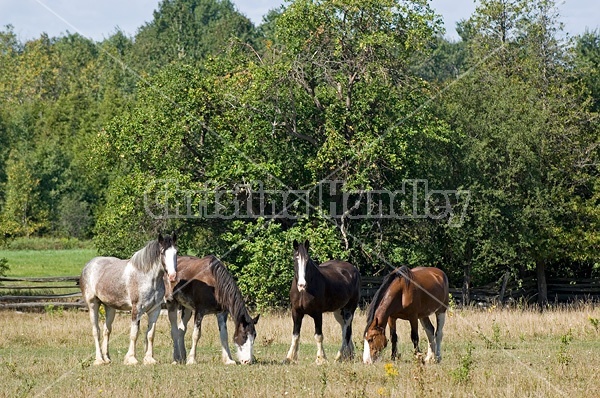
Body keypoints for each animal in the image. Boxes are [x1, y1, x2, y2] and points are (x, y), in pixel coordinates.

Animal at [78, 233, 176, 366]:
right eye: (162, 252)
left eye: (176, 252)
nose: (172, 276)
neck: (147, 277)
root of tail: (89, 265)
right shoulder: (137, 309)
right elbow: (134, 333)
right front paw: (131, 359)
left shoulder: (155, 310)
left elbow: (150, 334)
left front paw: (149, 359)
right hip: (93, 304)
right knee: (96, 331)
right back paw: (99, 360)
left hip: (110, 307)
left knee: (106, 330)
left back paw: (107, 358)